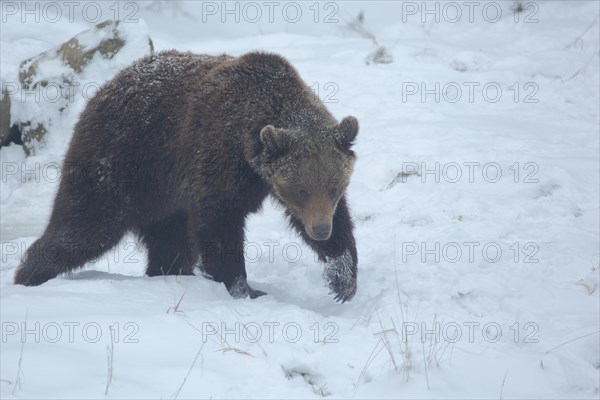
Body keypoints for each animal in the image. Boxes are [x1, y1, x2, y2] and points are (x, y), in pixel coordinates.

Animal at [14, 50, 358, 304]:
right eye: (300, 190)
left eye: (333, 187)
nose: (320, 230)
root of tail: (102, 90)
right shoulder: (217, 155)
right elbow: (219, 224)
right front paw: (244, 288)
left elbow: (342, 222)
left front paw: (342, 278)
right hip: (123, 161)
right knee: (84, 226)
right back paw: (29, 276)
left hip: (164, 200)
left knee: (171, 245)